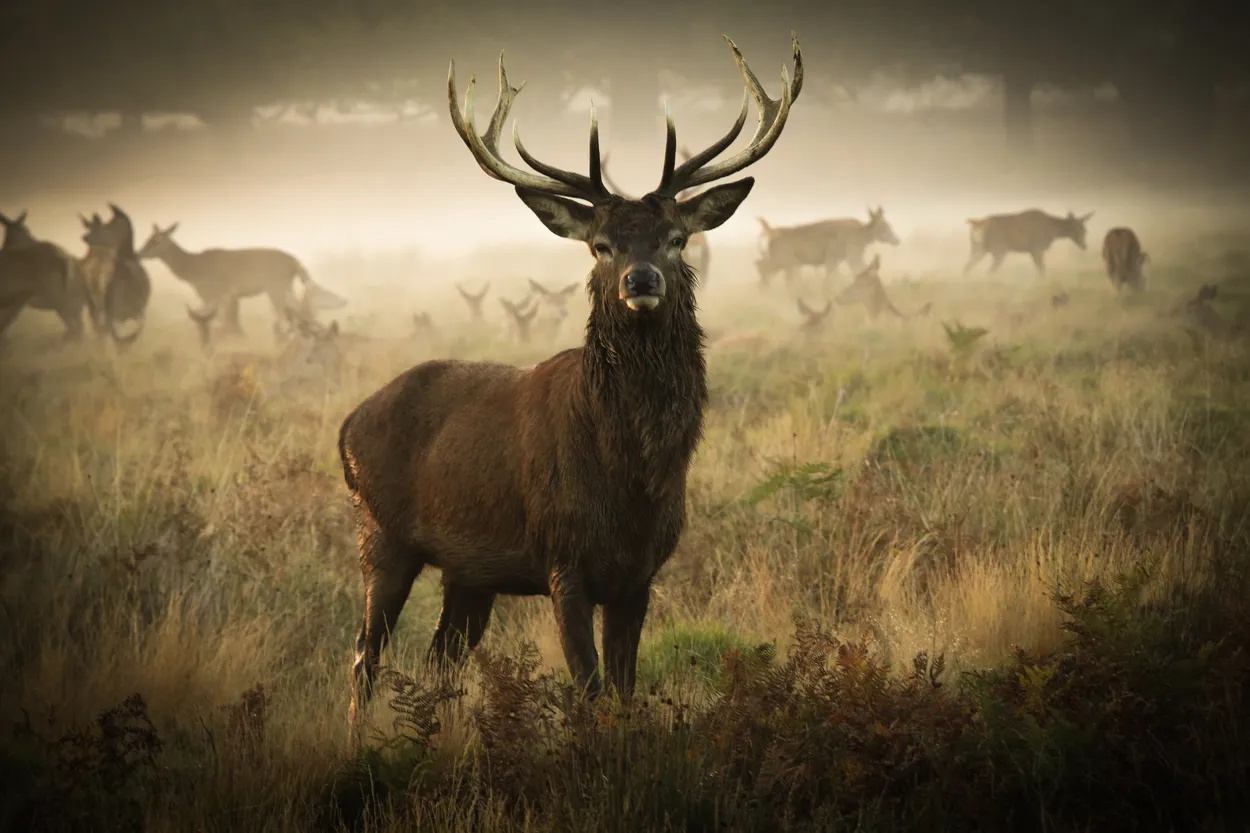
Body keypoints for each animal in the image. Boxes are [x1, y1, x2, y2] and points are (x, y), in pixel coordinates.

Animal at [137, 222, 346, 341]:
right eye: (149, 237)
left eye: (157, 240)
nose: (139, 253)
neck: (192, 268)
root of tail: (295, 262)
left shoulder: (214, 295)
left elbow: (220, 320)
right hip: (285, 289)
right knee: (298, 312)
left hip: (275, 288)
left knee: (285, 315)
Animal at [755, 207, 900, 292]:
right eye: (886, 225)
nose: (897, 240)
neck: (863, 234)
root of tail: (771, 234)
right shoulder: (852, 256)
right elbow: (859, 272)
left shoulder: (835, 259)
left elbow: (833, 277)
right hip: (787, 263)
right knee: (769, 273)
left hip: (783, 264)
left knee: (763, 270)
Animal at [963, 209, 1094, 277]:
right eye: (1076, 229)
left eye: (1085, 230)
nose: (1084, 245)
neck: (1052, 231)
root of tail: (975, 226)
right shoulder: (1037, 247)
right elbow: (1042, 269)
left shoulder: (1032, 250)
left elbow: (1040, 268)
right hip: (999, 248)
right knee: (989, 271)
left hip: (977, 248)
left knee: (967, 266)